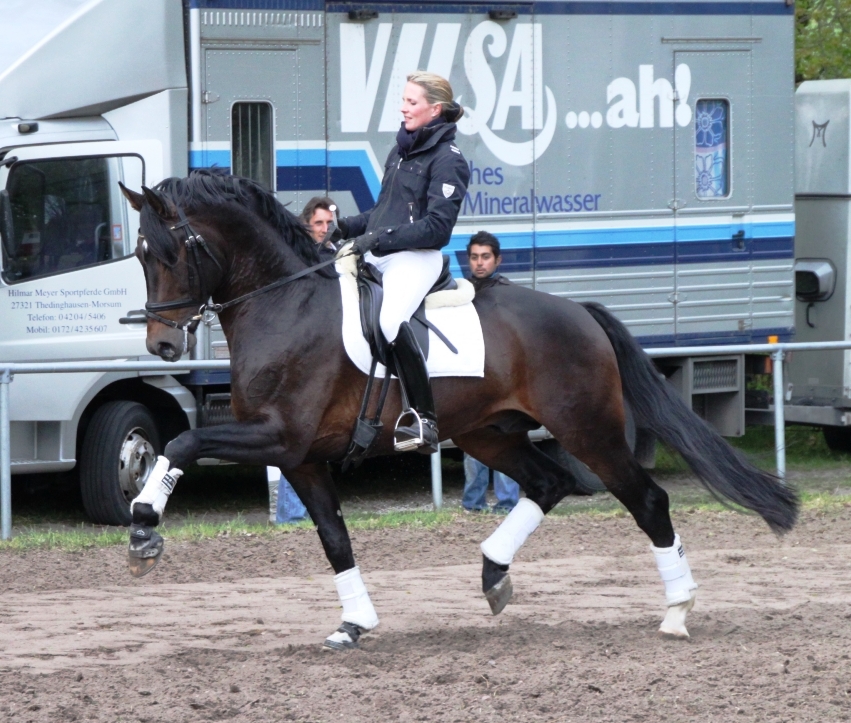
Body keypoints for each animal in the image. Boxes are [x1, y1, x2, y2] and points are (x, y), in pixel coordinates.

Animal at [119, 170, 798, 649]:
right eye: (140, 256)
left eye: (171, 254)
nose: (161, 346)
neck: (285, 305)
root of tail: (579, 312)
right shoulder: (301, 458)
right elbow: (335, 538)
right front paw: (354, 623)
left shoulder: (278, 437)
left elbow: (181, 443)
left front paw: (144, 523)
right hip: (488, 434)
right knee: (550, 482)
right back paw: (494, 573)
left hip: (589, 430)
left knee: (646, 500)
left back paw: (677, 612)